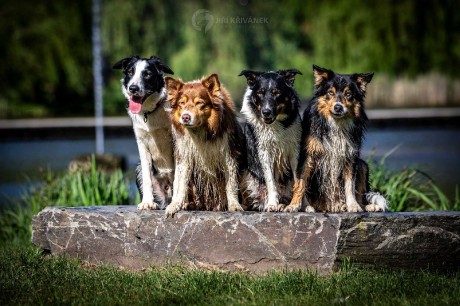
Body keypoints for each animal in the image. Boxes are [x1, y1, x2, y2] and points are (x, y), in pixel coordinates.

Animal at [113, 55, 174, 210]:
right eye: (130, 72)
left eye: (147, 74)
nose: (133, 88)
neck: (150, 112)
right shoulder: (142, 143)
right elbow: (147, 178)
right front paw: (147, 202)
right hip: (139, 168)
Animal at [239, 68, 304, 213]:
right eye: (260, 93)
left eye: (276, 93)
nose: (266, 112)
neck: (274, 125)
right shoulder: (264, 152)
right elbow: (270, 181)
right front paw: (272, 204)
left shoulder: (295, 151)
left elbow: (298, 180)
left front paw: (300, 205)